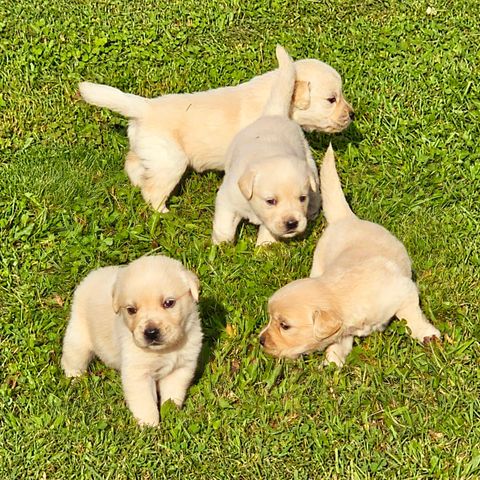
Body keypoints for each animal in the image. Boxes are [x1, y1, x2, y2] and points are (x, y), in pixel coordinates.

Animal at [61, 256, 202, 426]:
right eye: (131, 310)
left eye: (169, 303)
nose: (151, 332)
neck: (164, 350)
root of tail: (91, 276)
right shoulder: (138, 373)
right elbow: (145, 403)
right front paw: (149, 426)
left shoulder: (181, 367)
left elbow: (173, 393)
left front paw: (172, 414)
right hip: (78, 338)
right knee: (72, 359)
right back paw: (74, 379)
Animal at [80, 49, 354, 212]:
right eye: (331, 99)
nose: (352, 114)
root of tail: (144, 107)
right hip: (171, 160)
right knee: (153, 191)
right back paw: (164, 213)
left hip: (150, 151)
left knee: (133, 165)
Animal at [213, 45, 318, 246]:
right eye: (271, 201)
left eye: (302, 198)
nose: (292, 223)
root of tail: (274, 113)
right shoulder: (227, 199)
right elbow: (223, 226)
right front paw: (221, 245)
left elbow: (268, 232)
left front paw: (265, 247)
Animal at [260, 144, 440, 366]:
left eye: (284, 325)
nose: (260, 340)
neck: (340, 295)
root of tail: (345, 218)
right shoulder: (344, 330)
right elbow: (339, 343)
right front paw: (332, 361)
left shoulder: (405, 291)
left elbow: (411, 316)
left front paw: (427, 334)